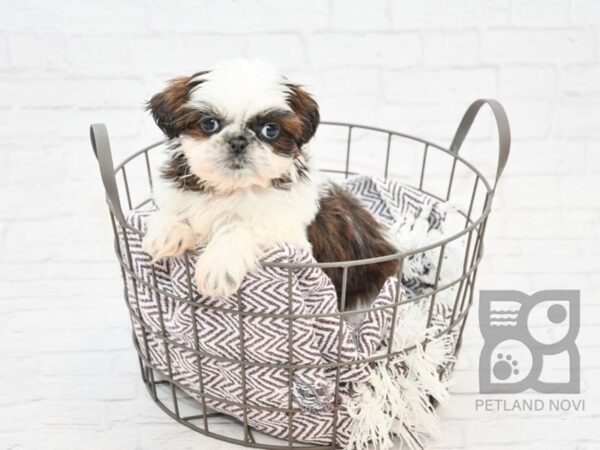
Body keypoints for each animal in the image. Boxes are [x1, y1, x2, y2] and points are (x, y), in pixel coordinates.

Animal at [144, 59, 398, 312]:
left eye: (270, 130)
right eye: (209, 123)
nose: (238, 141)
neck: (233, 188)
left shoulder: (292, 239)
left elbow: (244, 226)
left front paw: (219, 264)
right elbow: (175, 209)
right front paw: (167, 229)